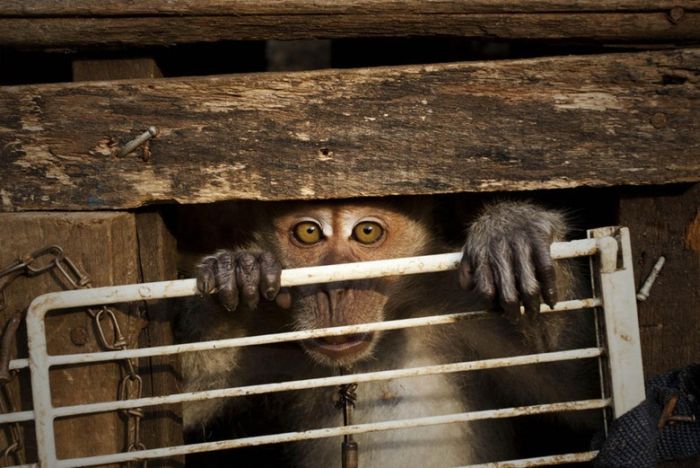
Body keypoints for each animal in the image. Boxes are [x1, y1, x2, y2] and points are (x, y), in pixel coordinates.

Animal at [178, 199, 600, 466]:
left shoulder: (460, 308)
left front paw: (513, 229)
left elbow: (579, 389)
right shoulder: (267, 330)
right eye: (309, 232)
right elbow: (177, 409)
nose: (335, 290)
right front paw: (236, 271)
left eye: (366, 231)